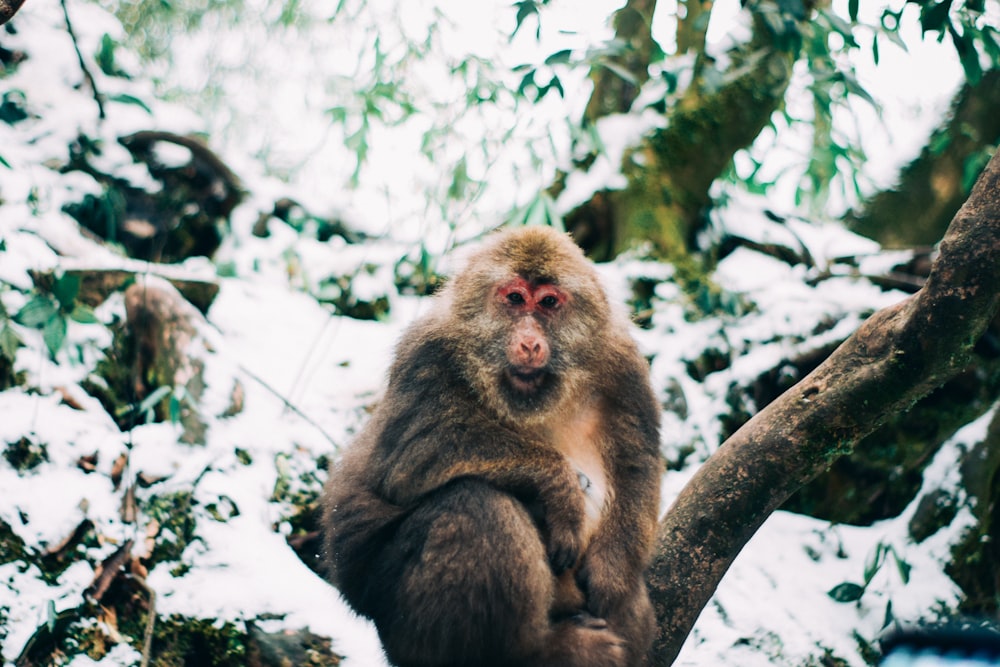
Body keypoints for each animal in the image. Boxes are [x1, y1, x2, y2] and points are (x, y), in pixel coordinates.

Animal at [322, 226, 664, 667]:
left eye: (549, 302)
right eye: (515, 298)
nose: (530, 343)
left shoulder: (625, 367)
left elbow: (637, 463)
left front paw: (610, 573)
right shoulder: (425, 352)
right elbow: (414, 450)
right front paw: (560, 487)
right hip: (402, 633)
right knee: (477, 505)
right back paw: (544, 651)